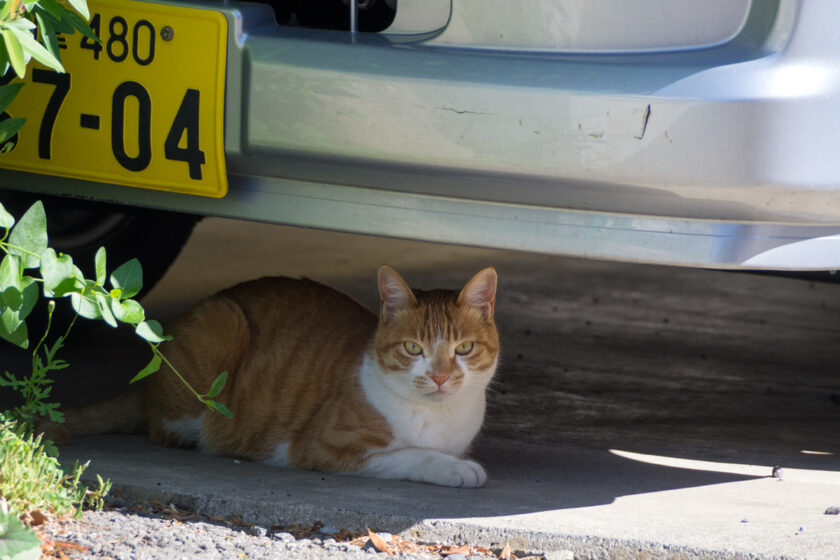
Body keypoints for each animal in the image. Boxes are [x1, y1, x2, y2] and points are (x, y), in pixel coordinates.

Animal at [50, 266, 498, 486]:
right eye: (413, 349)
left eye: (463, 349)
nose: (439, 378)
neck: (439, 418)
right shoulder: (323, 448)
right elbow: (412, 455)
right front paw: (456, 469)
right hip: (222, 322)